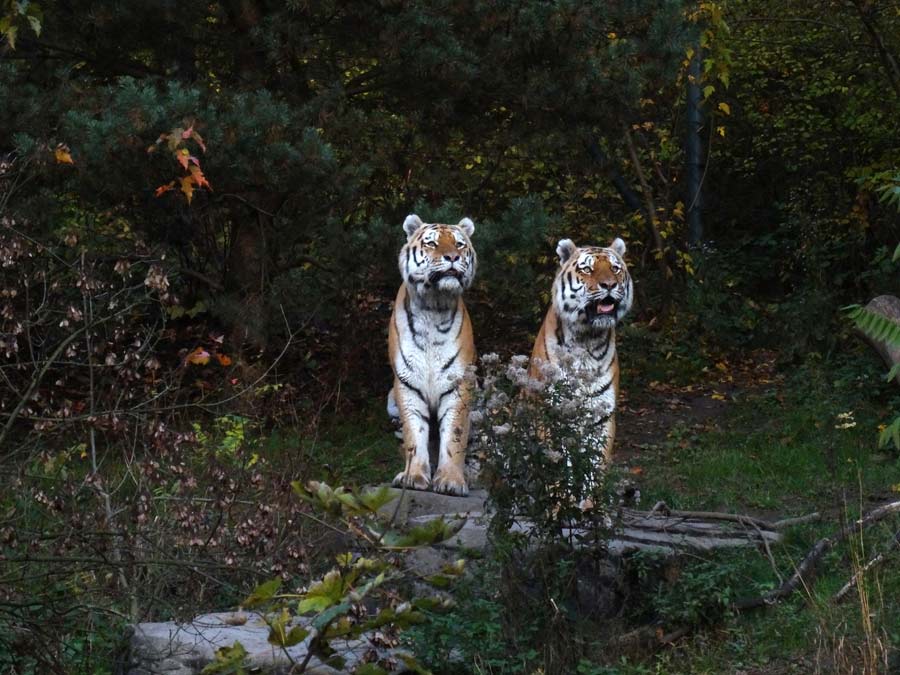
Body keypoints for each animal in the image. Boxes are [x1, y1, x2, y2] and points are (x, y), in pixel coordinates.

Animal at [390, 215, 482, 496]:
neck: (434, 305)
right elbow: (414, 433)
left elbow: (455, 434)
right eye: (432, 243)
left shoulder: (459, 384)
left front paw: (451, 481)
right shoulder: (407, 384)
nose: (452, 257)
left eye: (460, 244)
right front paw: (413, 477)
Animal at [528, 235, 632, 462]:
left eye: (615, 268)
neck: (587, 339)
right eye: (587, 269)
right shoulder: (550, 412)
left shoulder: (603, 415)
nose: (610, 285)